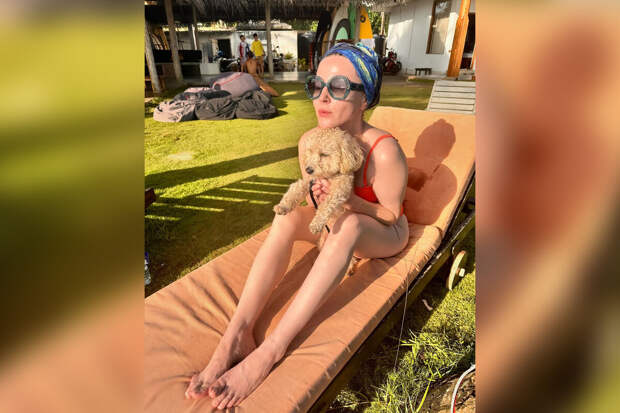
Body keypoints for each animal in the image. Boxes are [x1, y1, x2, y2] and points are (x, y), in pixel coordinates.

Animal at [273, 127, 365, 275]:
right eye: (309, 152)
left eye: (324, 154)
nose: (308, 169)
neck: (327, 176)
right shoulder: (309, 181)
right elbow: (295, 189)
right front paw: (283, 206)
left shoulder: (340, 189)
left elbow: (326, 205)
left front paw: (315, 223)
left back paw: (350, 268)